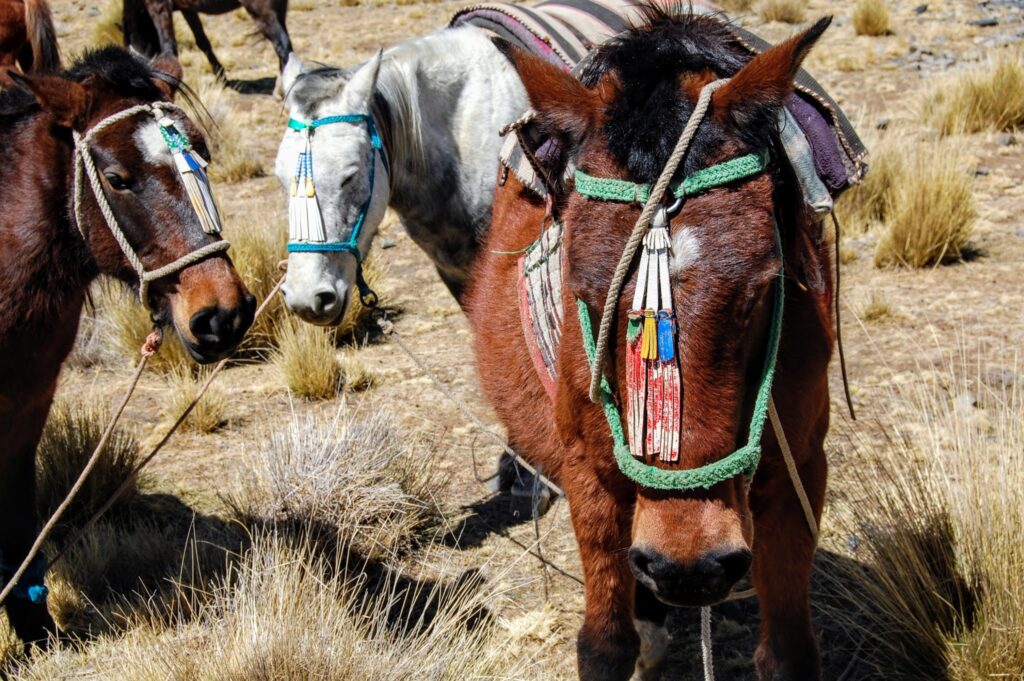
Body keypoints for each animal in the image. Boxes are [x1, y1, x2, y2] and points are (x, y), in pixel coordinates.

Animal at [122, 0, 292, 79]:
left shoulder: (159, 7)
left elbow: (169, 48)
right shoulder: (187, 9)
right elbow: (202, 41)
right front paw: (221, 76)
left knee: (283, 46)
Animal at [466, 9, 835, 680]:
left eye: (760, 291)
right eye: (584, 293)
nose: (689, 567)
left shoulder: (800, 471)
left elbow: (789, 652)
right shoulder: (588, 476)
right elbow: (603, 644)